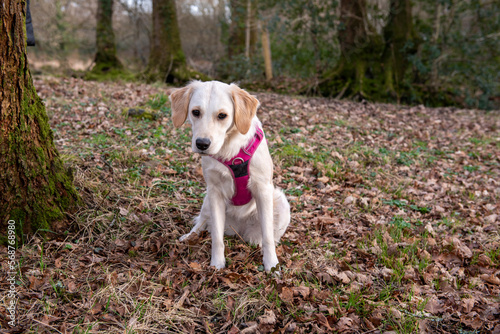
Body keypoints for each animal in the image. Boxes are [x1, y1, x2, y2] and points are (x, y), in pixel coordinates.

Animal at [170, 81, 292, 272]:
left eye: (222, 115)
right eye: (195, 112)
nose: (202, 144)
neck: (230, 151)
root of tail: (238, 231)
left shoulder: (263, 189)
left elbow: (267, 236)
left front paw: (271, 264)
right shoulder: (214, 192)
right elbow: (217, 237)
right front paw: (217, 264)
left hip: (281, 202)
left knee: (268, 235)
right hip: (207, 200)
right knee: (202, 222)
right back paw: (190, 236)